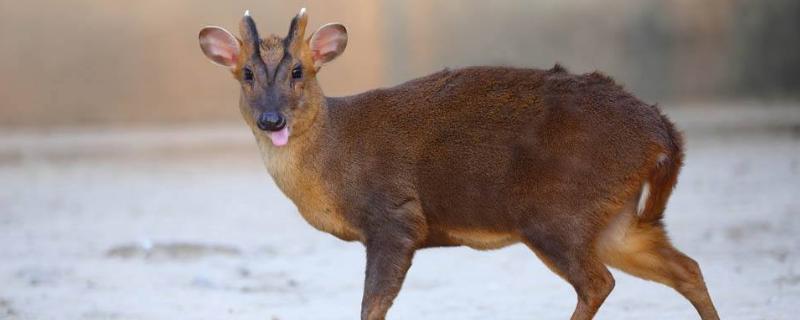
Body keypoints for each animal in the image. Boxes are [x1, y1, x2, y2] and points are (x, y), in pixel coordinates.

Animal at [198, 8, 720, 318]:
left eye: (298, 71)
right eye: (247, 74)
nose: (271, 119)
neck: (332, 159)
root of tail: (662, 132)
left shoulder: (396, 216)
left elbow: (372, 305)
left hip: (557, 211)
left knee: (598, 282)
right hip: (614, 218)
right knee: (687, 267)